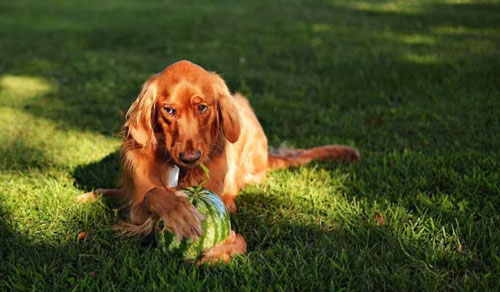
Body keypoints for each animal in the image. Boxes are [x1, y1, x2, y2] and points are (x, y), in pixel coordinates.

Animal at [78, 60, 360, 264]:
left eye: (202, 107)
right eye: (169, 110)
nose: (190, 157)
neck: (181, 172)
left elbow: (239, 240)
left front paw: (220, 252)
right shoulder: (136, 205)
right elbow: (153, 193)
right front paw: (179, 212)